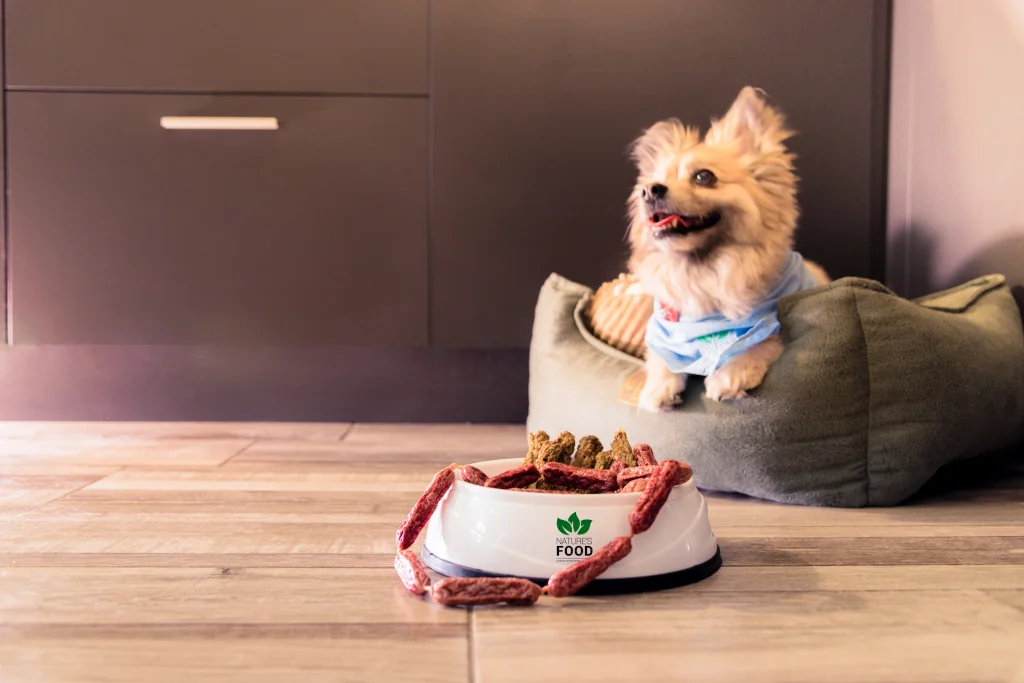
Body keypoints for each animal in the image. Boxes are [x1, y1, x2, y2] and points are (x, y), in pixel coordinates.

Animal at [622, 85, 831, 411]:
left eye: (703, 176)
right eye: (651, 182)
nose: (650, 190)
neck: (703, 274)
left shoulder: (768, 326)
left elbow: (758, 343)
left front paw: (730, 376)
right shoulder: (662, 335)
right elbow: (660, 358)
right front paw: (657, 389)